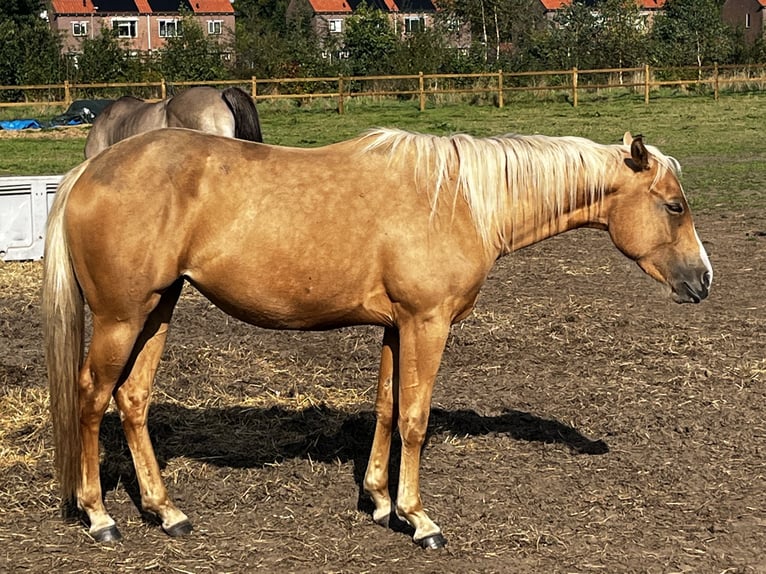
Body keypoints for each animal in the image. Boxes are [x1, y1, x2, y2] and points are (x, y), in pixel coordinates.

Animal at [42, 127, 712, 548]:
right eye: (675, 206)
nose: (703, 280)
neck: (460, 200)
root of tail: (88, 170)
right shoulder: (426, 323)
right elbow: (415, 418)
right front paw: (419, 519)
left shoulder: (396, 327)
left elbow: (387, 410)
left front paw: (380, 501)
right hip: (121, 318)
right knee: (91, 399)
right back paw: (99, 516)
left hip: (158, 309)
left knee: (132, 401)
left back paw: (166, 512)